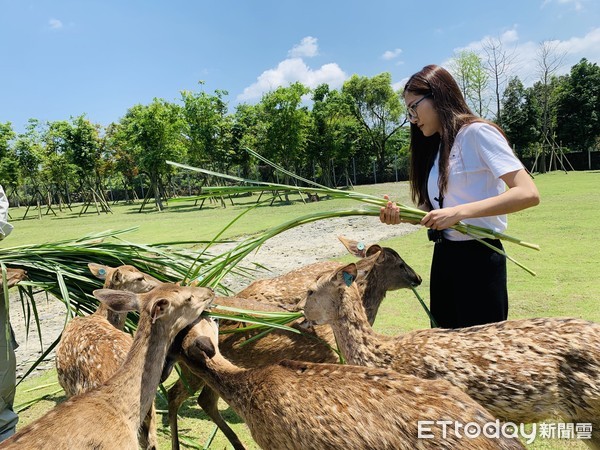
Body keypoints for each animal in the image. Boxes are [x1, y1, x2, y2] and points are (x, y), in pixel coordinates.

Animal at [165, 237, 422, 448]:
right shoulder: (327, 358)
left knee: (203, 399)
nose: (418, 278)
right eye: (400, 264)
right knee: (174, 393)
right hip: (191, 366)